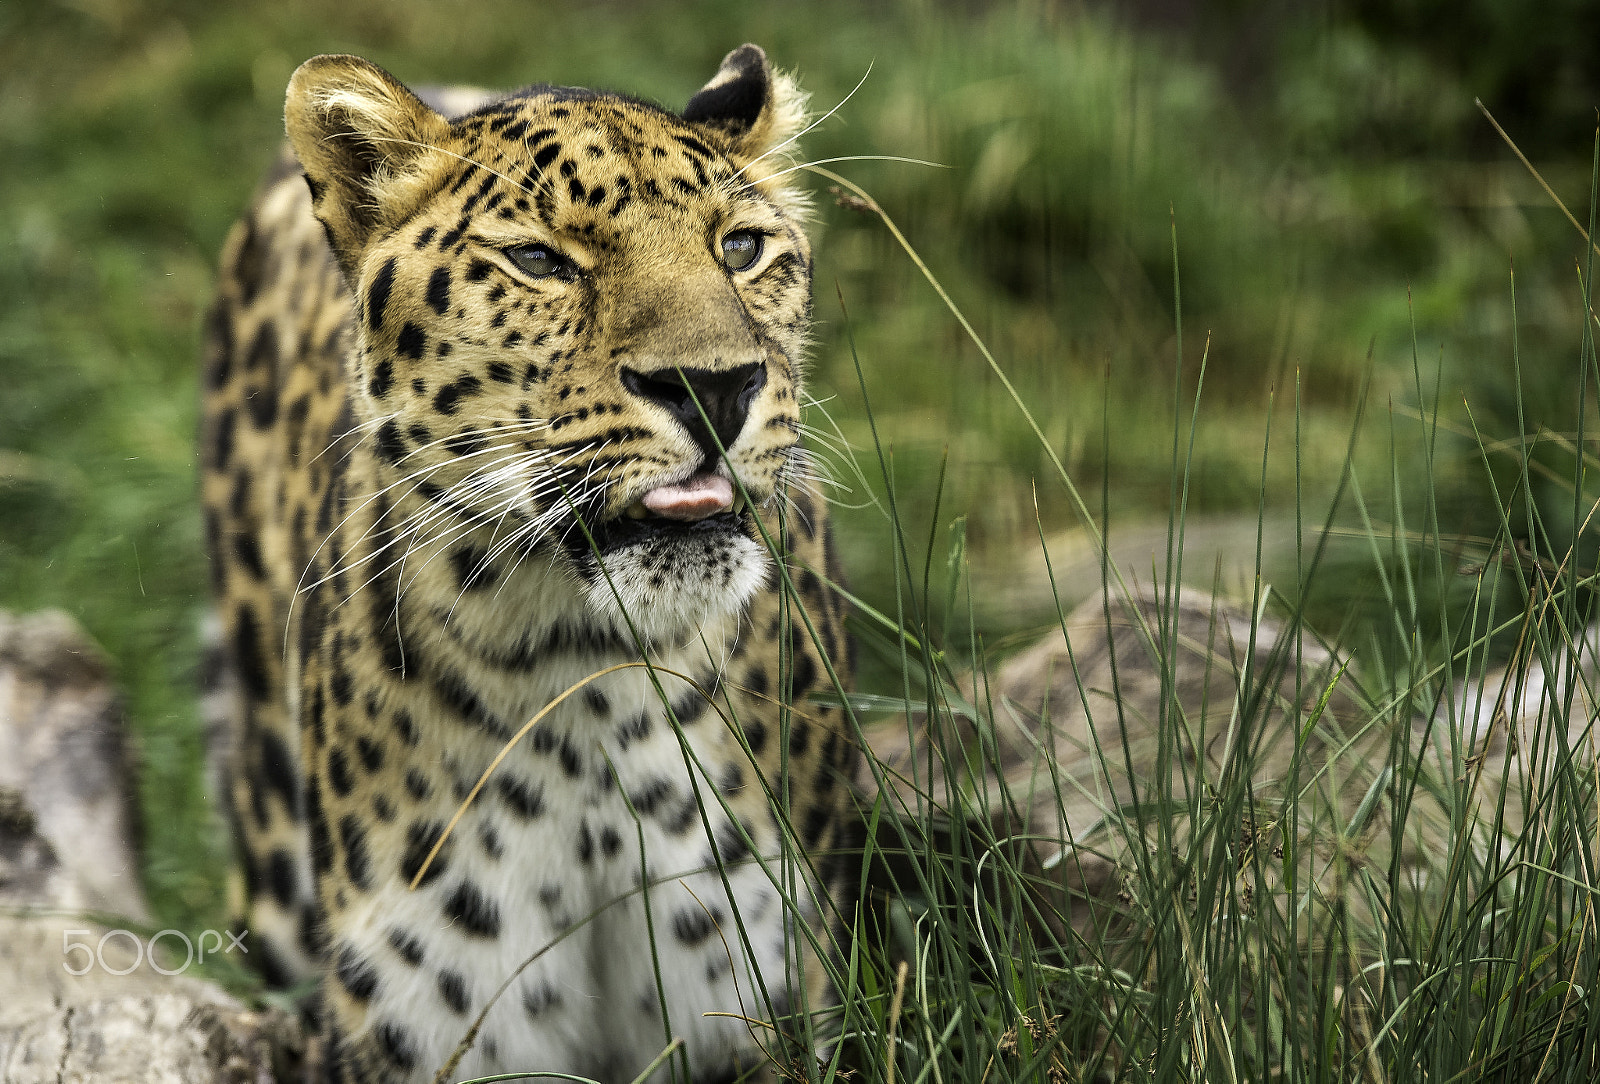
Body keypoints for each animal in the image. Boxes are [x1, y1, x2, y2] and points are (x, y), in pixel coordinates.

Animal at [200, 45, 860, 1084]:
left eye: (742, 248)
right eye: (541, 262)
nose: (715, 386)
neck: (583, 679)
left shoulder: (765, 994)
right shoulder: (434, 1030)